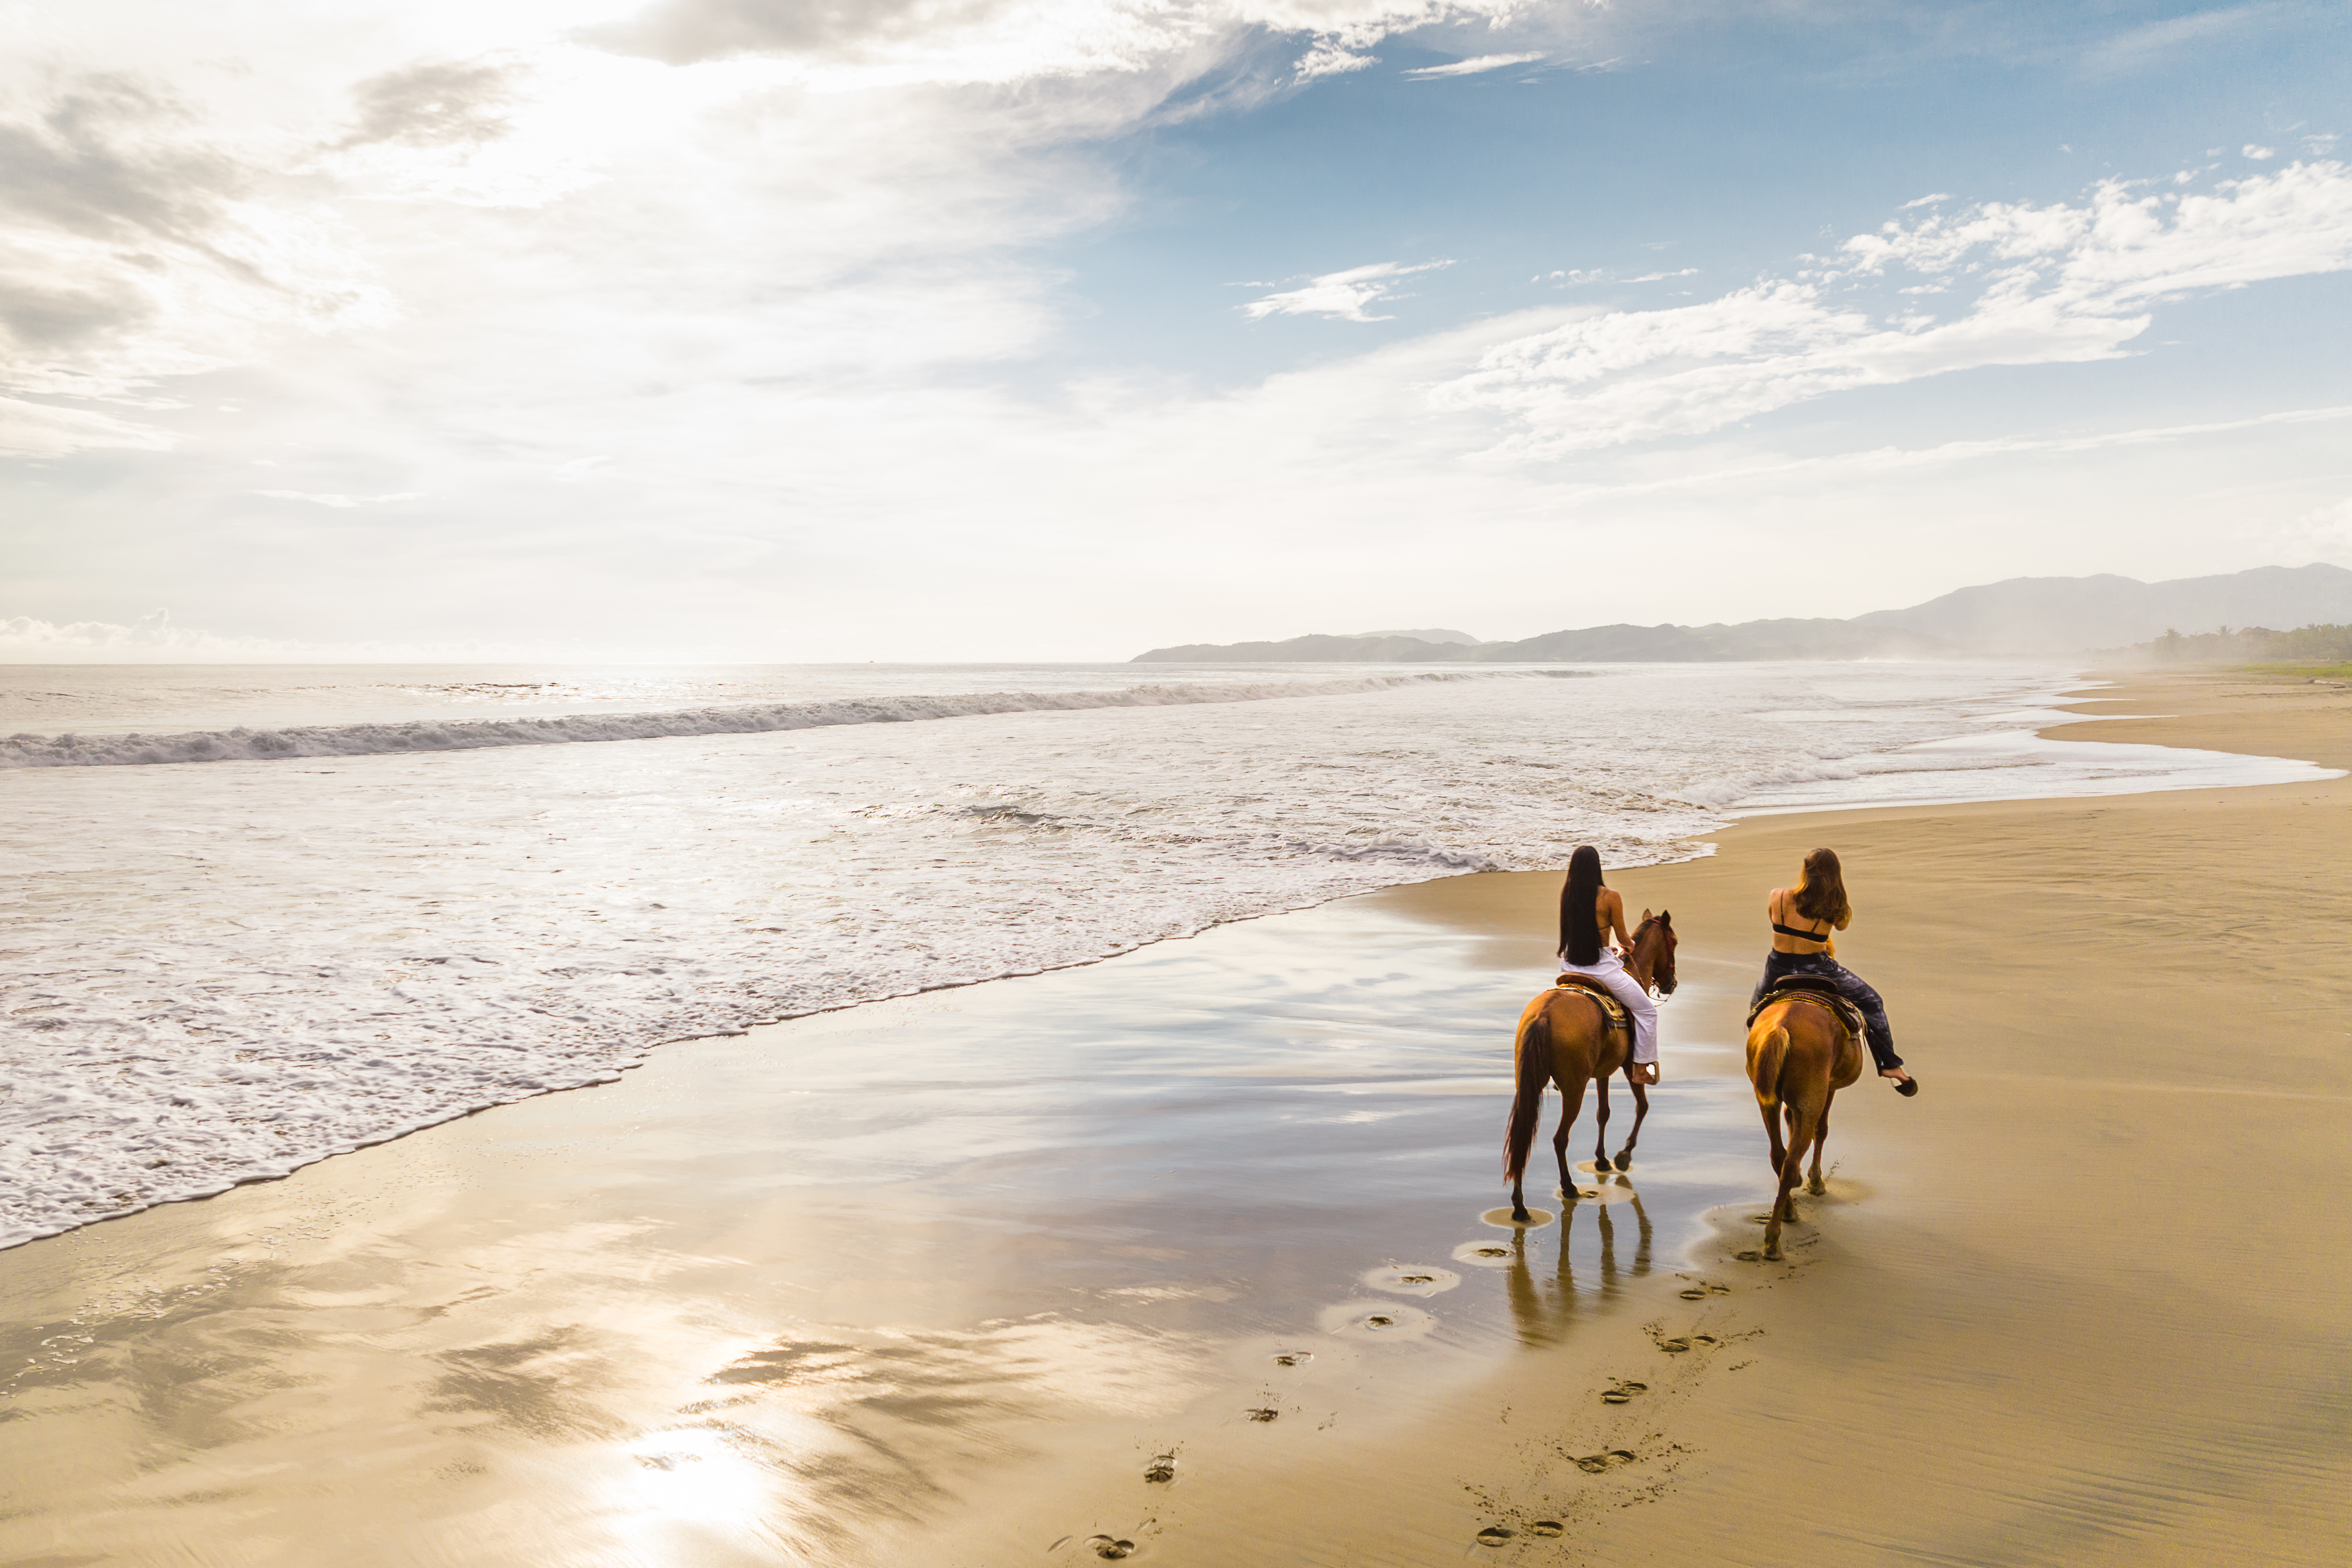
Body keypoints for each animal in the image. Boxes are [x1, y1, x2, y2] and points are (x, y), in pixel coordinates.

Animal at [1503, 911, 1678, 1224]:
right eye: (1675, 942)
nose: (1672, 983)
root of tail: (1544, 1013)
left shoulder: (1603, 1072)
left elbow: (1603, 1113)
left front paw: (1601, 1159)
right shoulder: (1629, 1066)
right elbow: (1642, 1106)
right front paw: (1623, 1156)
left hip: (1529, 1084)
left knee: (1523, 1136)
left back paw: (1520, 1206)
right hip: (1574, 1088)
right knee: (1560, 1138)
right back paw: (1569, 1187)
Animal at [1744, 991, 1864, 1260]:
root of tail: (1781, 1026)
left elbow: (1791, 1122)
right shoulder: (1828, 1088)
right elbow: (1822, 1130)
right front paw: (1815, 1181)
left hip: (1767, 1101)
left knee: (1779, 1156)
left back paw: (1787, 1211)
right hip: (1812, 1101)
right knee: (1791, 1160)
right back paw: (1773, 1240)